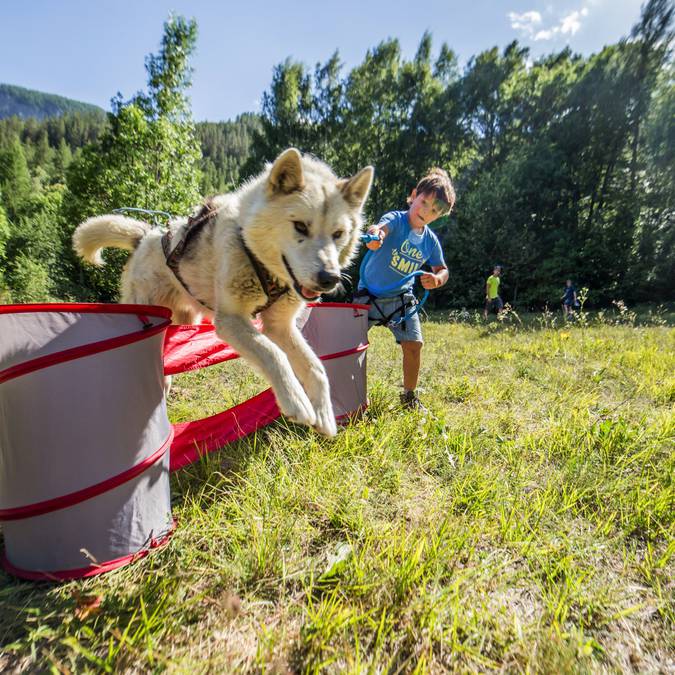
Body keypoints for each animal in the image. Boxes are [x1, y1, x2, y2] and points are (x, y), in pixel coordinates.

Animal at [74, 149, 374, 438]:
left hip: (187, 318)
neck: (259, 260)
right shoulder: (231, 320)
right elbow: (273, 353)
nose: (329, 278)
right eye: (300, 226)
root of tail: (148, 234)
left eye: (338, 233)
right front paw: (297, 402)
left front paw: (324, 415)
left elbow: (316, 367)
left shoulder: (280, 326)